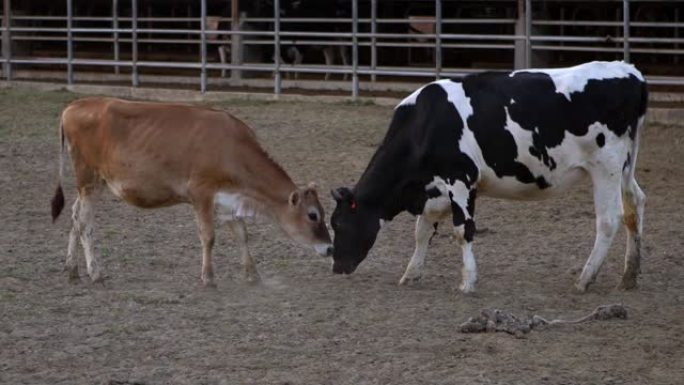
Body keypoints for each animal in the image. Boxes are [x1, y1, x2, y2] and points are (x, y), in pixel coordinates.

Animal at [50, 97, 334, 286]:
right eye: (313, 215)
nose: (331, 249)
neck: (231, 148)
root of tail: (73, 106)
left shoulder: (228, 200)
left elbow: (242, 235)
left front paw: (253, 274)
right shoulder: (201, 193)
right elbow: (208, 236)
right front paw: (208, 277)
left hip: (92, 182)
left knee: (74, 216)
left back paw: (72, 268)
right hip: (88, 178)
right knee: (85, 222)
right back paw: (95, 272)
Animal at [330, 61, 648, 292]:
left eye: (340, 224)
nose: (336, 267)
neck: (425, 124)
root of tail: (629, 72)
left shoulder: (460, 179)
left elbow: (462, 230)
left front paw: (467, 281)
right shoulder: (435, 190)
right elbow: (422, 231)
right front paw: (411, 274)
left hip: (605, 166)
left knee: (609, 219)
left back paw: (585, 278)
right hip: (625, 166)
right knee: (635, 205)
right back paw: (629, 275)